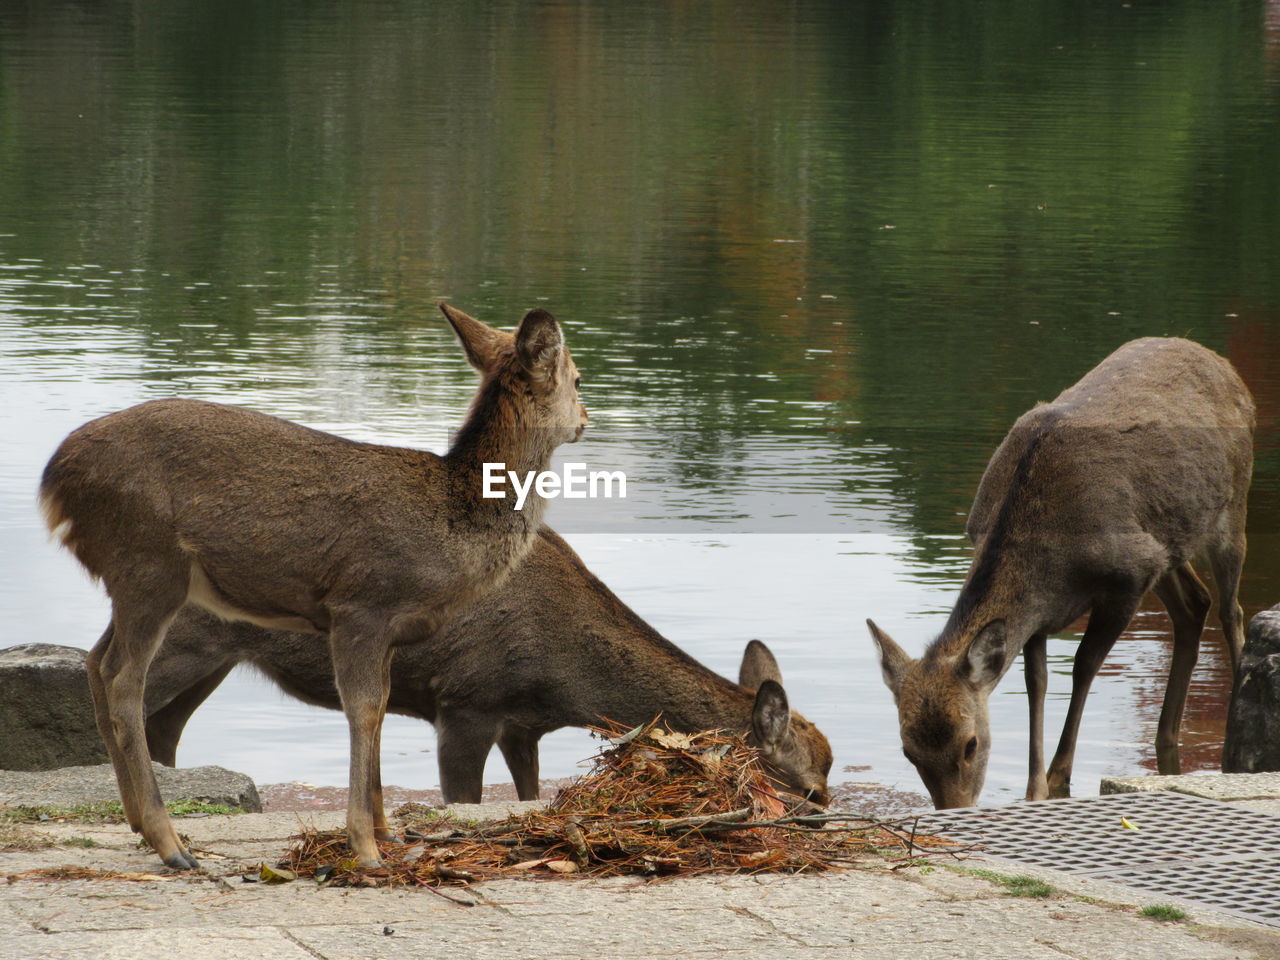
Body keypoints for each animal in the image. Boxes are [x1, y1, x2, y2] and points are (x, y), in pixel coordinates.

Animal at [38, 302, 588, 870]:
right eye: (577, 378)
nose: (585, 420)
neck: (454, 528)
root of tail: (53, 480)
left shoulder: (390, 631)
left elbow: (381, 708)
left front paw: (387, 832)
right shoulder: (362, 604)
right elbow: (363, 710)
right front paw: (365, 848)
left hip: (130, 579)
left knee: (94, 660)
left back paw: (138, 824)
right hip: (149, 562)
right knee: (125, 678)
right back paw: (171, 844)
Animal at [142, 529, 839, 808]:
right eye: (810, 788)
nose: (826, 814)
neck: (567, 680)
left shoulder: (520, 725)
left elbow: (528, 794)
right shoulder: (465, 703)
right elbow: (464, 797)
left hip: (214, 660)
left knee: (163, 731)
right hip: (184, 642)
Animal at [865, 337, 1254, 814]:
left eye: (971, 744)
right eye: (908, 751)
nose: (955, 809)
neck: (1053, 561)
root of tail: (1224, 365)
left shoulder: (1128, 576)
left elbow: (1084, 665)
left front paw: (1058, 775)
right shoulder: (1043, 611)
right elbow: (1037, 683)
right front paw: (1034, 789)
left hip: (1232, 506)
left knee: (1231, 609)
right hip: (1167, 543)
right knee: (1194, 604)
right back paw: (1167, 738)